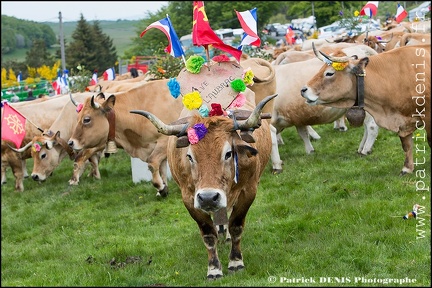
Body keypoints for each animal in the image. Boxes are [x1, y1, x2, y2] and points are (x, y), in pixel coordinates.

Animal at [131, 54, 276, 280]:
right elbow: (207, 233)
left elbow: (236, 225)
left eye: (228, 153)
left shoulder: (248, 190)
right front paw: (214, 268)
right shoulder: (189, 198)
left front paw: (235, 262)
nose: (208, 197)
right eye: (189, 156)